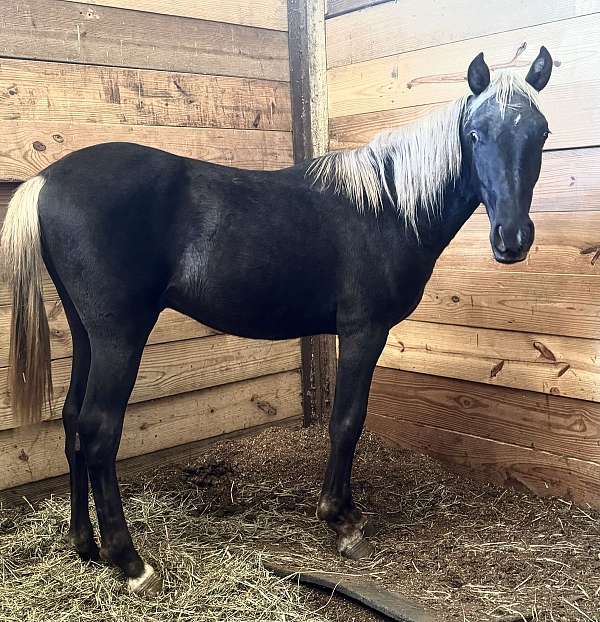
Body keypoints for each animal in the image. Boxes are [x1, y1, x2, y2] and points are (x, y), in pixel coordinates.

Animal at [0, 47, 552, 596]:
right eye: (475, 134)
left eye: (541, 133)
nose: (512, 239)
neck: (388, 206)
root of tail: (45, 180)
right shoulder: (363, 332)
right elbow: (347, 421)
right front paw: (342, 521)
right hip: (119, 339)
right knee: (98, 429)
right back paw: (132, 563)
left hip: (86, 334)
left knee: (72, 419)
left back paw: (86, 545)